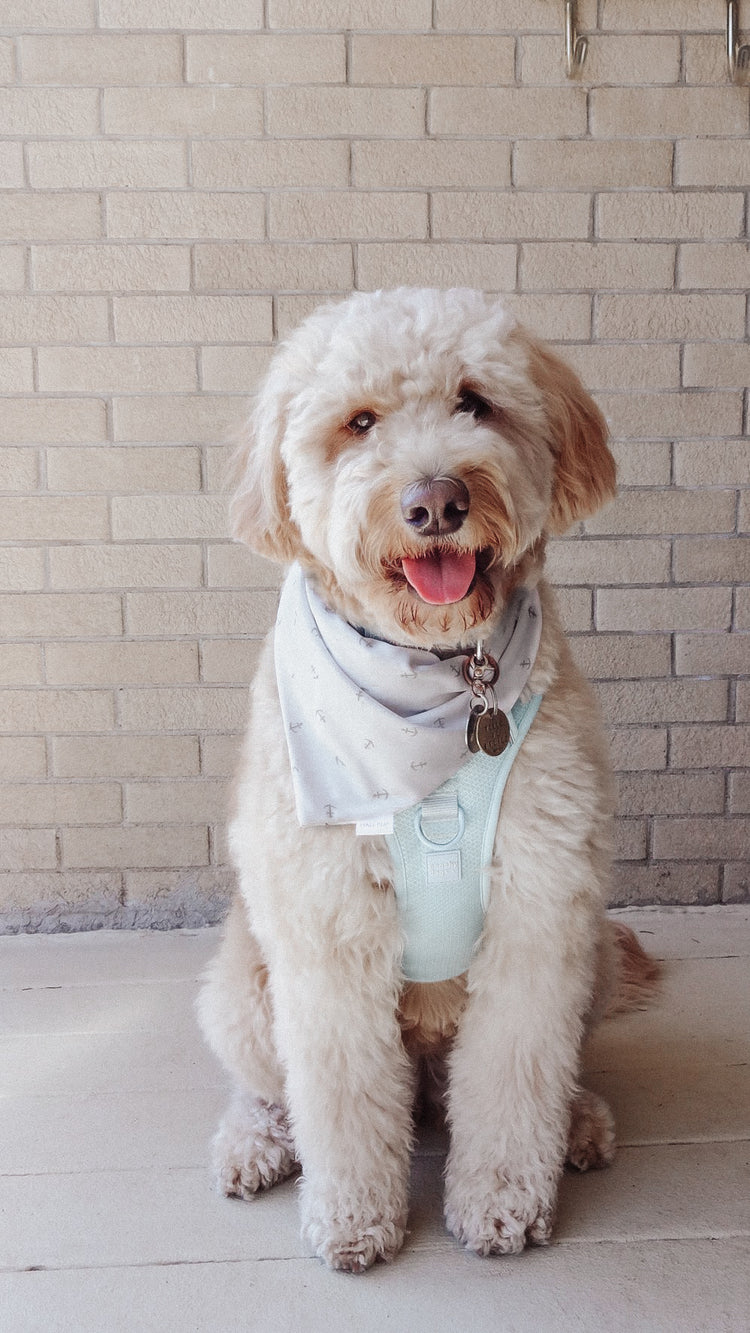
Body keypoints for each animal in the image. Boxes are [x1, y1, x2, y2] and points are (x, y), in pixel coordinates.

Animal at [198, 289, 658, 1269]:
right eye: (359, 423)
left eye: (474, 403)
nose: (436, 499)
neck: (437, 682)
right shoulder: (327, 932)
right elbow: (337, 1092)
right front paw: (352, 1216)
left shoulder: (540, 910)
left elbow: (517, 1073)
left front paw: (503, 1201)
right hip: (244, 987)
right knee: (277, 1086)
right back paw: (257, 1140)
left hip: (593, 953)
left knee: (526, 1074)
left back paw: (577, 1123)